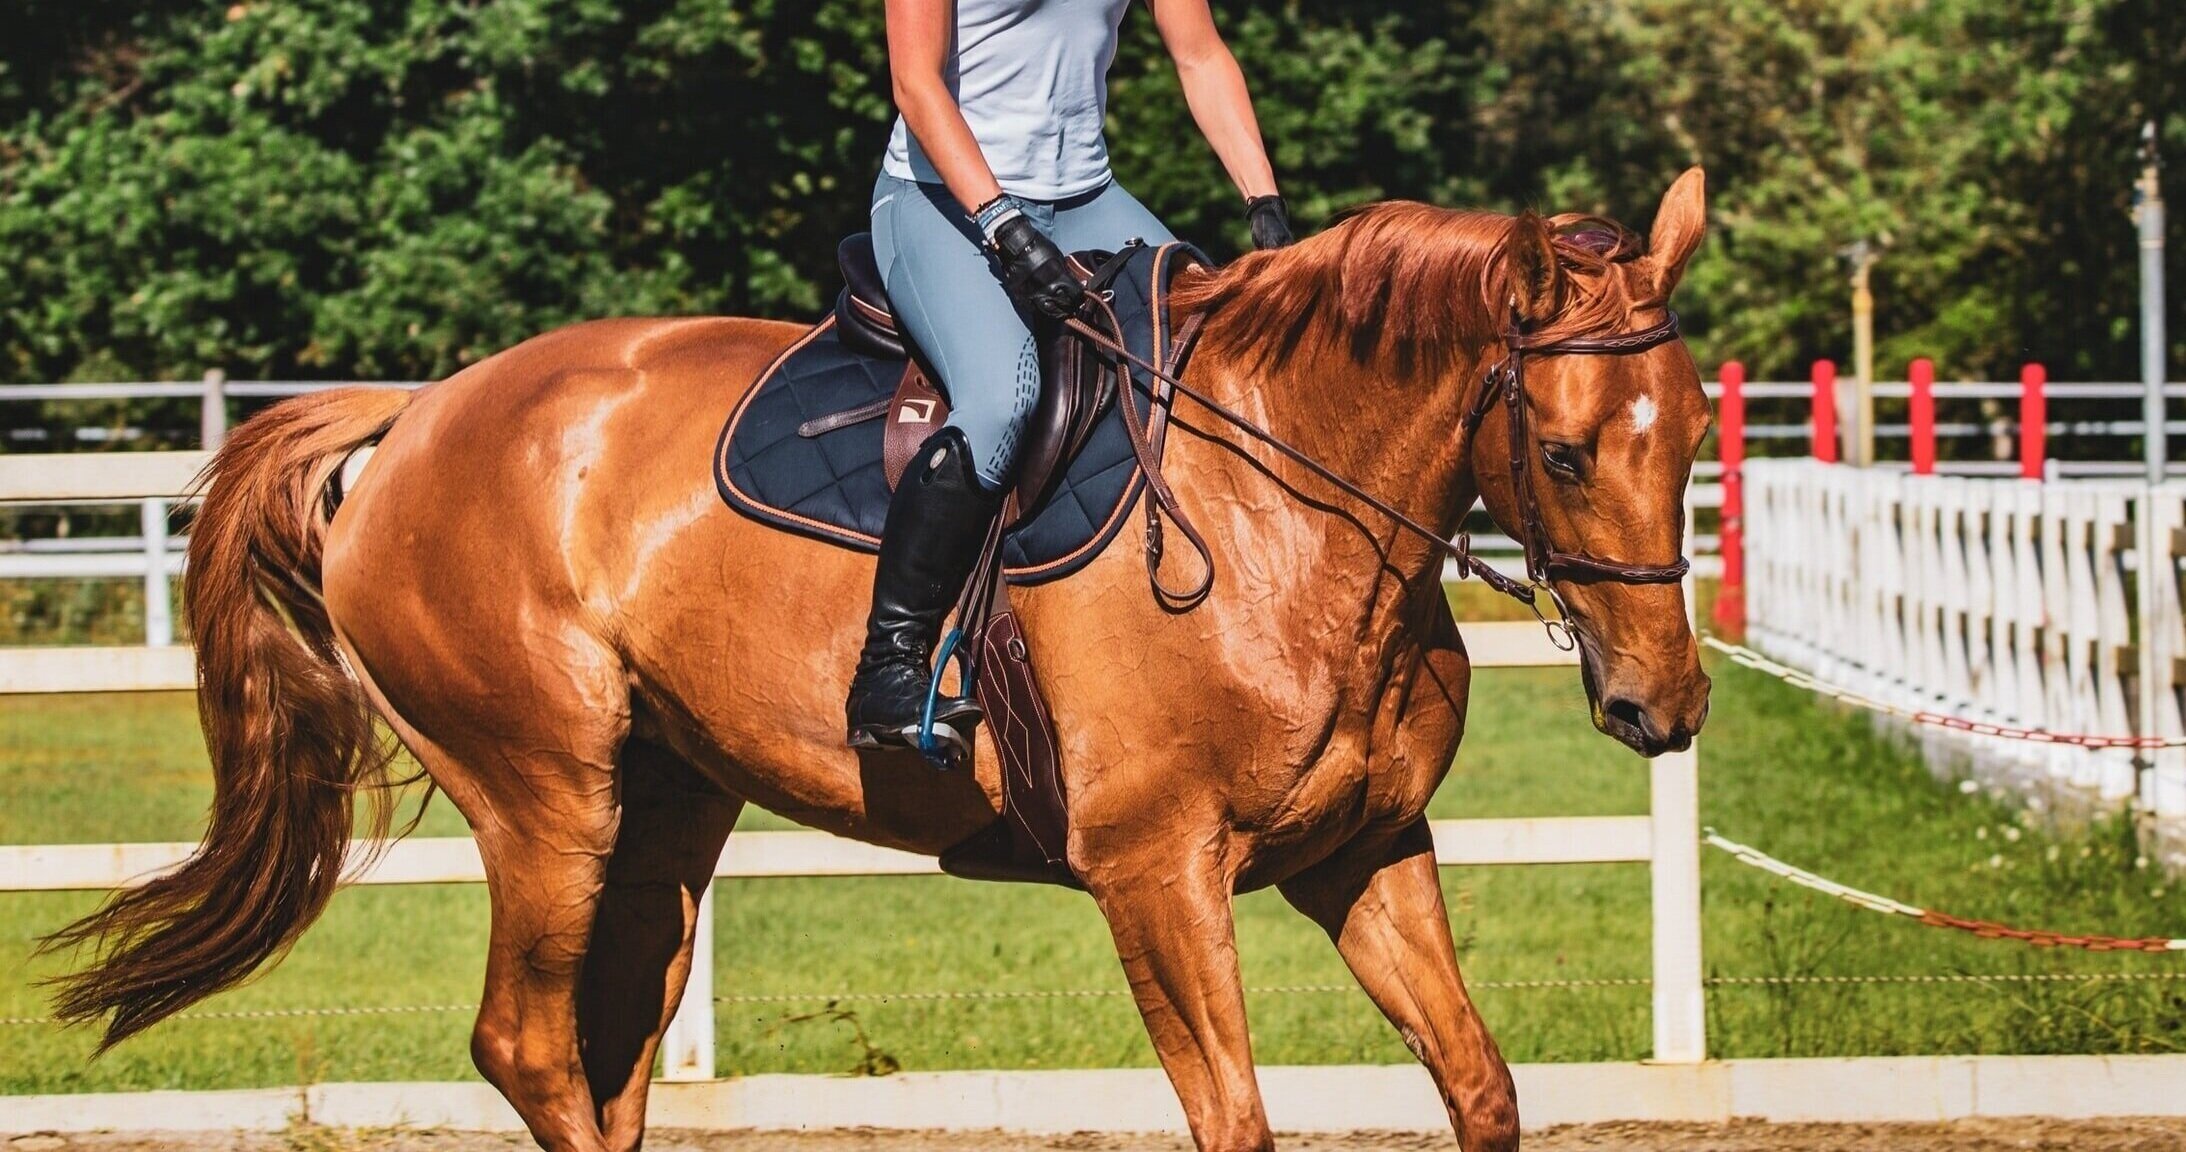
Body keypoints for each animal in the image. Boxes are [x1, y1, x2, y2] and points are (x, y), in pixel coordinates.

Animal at [49, 168, 1713, 1152]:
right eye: (1564, 453)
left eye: (1697, 434)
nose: (1664, 702)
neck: (1278, 507)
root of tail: (418, 414)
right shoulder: (1155, 873)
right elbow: (1231, 1114)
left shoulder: (1364, 851)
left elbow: (1479, 1085)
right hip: (545, 798)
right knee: (527, 1044)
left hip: (664, 810)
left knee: (610, 1041)